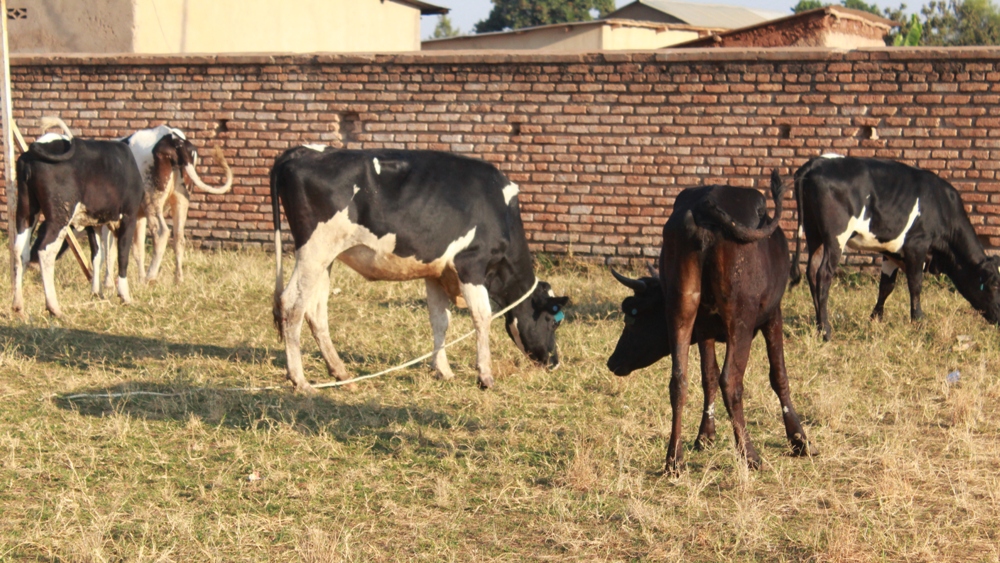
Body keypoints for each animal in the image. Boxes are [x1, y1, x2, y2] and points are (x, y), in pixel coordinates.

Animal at [10, 121, 144, 317]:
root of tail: (36, 148)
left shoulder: (93, 223)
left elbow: (97, 256)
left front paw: (96, 293)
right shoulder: (129, 216)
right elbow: (122, 255)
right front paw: (125, 296)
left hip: (26, 210)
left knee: (20, 251)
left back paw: (18, 306)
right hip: (60, 216)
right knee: (45, 251)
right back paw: (54, 308)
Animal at [271, 146, 569, 393]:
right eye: (553, 321)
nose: (554, 362)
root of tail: (302, 151)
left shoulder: (437, 273)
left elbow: (440, 320)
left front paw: (443, 371)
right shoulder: (471, 263)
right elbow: (482, 317)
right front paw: (485, 376)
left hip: (326, 258)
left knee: (315, 311)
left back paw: (341, 374)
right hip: (314, 249)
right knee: (292, 304)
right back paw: (300, 381)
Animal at [606, 172, 813, 473]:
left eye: (633, 315)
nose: (612, 361)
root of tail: (703, 205)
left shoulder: (704, 331)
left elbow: (708, 376)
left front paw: (705, 435)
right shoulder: (773, 314)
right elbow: (779, 375)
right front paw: (799, 439)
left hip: (682, 307)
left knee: (679, 380)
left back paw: (674, 459)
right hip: (741, 318)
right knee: (732, 381)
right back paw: (750, 454)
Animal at [790, 155, 1000, 341]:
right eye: (995, 284)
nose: (999, 320)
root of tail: (817, 162)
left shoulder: (890, 251)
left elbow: (886, 286)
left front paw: (875, 319)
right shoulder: (917, 244)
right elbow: (915, 284)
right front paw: (918, 321)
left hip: (813, 232)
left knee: (812, 270)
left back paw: (818, 325)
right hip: (836, 237)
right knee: (823, 274)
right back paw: (826, 331)